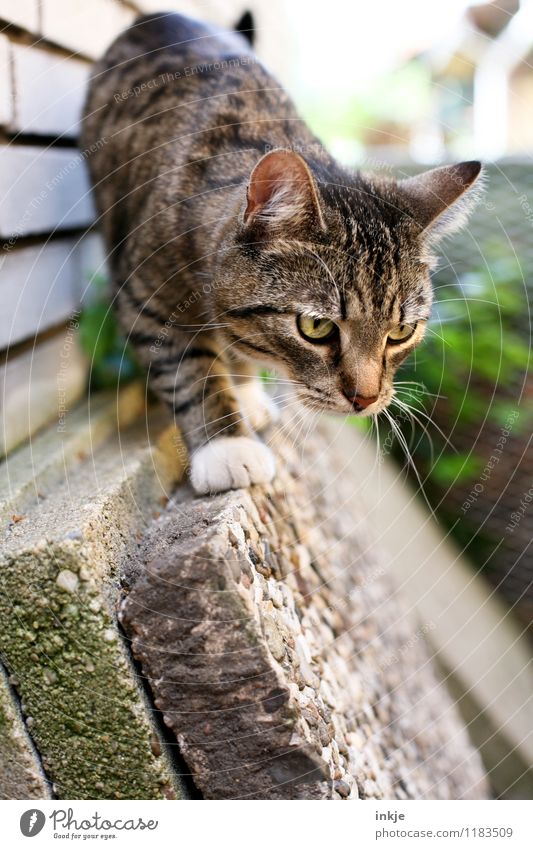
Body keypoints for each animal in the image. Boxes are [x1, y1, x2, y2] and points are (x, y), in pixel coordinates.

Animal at [80, 9, 482, 494]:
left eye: (401, 332)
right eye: (316, 327)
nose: (366, 399)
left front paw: (244, 392)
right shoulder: (146, 300)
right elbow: (190, 372)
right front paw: (226, 444)